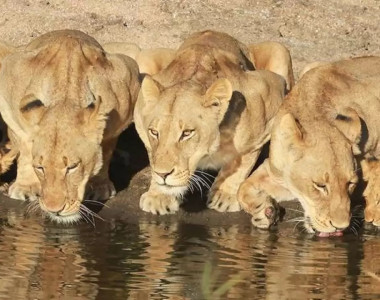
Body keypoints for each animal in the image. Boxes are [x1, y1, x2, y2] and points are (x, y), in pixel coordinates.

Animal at [0, 29, 140, 223]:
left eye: (72, 167)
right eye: (40, 168)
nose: (54, 209)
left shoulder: (127, 80)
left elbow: (106, 148)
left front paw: (100, 185)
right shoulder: (9, 78)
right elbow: (25, 146)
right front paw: (26, 186)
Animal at [134, 29, 288, 213]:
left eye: (187, 133)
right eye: (154, 132)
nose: (163, 174)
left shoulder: (267, 94)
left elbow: (240, 163)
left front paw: (224, 195)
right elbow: (153, 153)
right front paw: (159, 195)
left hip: (279, 49)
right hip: (144, 57)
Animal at [239, 55, 380, 234]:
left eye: (350, 183)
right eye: (320, 185)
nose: (341, 226)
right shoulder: (276, 173)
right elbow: (242, 188)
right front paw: (264, 213)